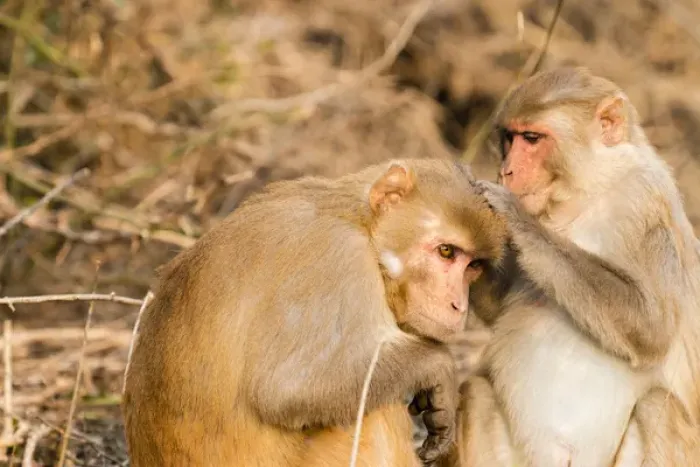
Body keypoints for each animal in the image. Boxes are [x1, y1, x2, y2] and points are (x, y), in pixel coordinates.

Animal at [121, 158, 509, 467]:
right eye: (446, 252)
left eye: (473, 265)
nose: (458, 305)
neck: (357, 221)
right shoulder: (338, 258)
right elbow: (290, 389)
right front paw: (439, 368)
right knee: (376, 412)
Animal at [449, 66, 700, 467]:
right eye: (510, 138)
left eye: (532, 138)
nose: (507, 170)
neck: (589, 193)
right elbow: (497, 308)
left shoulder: (645, 201)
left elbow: (652, 328)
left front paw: (517, 220)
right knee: (474, 392)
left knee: (655, 406)